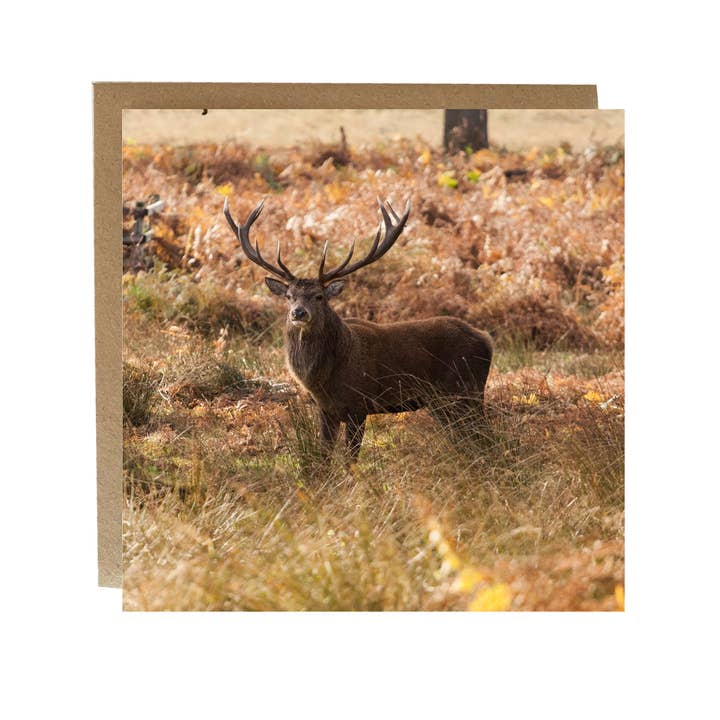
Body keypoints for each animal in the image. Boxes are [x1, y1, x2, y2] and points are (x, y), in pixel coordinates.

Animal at [223, 196, 493, 463]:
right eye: (289, 296)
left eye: (319, 296)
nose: (298, 313)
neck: (324, 380)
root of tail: (486, 340)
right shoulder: (325, 411)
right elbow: (324, 457)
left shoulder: (359, 405)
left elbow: (350, 460)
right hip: (444, 401)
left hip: (464, 390)